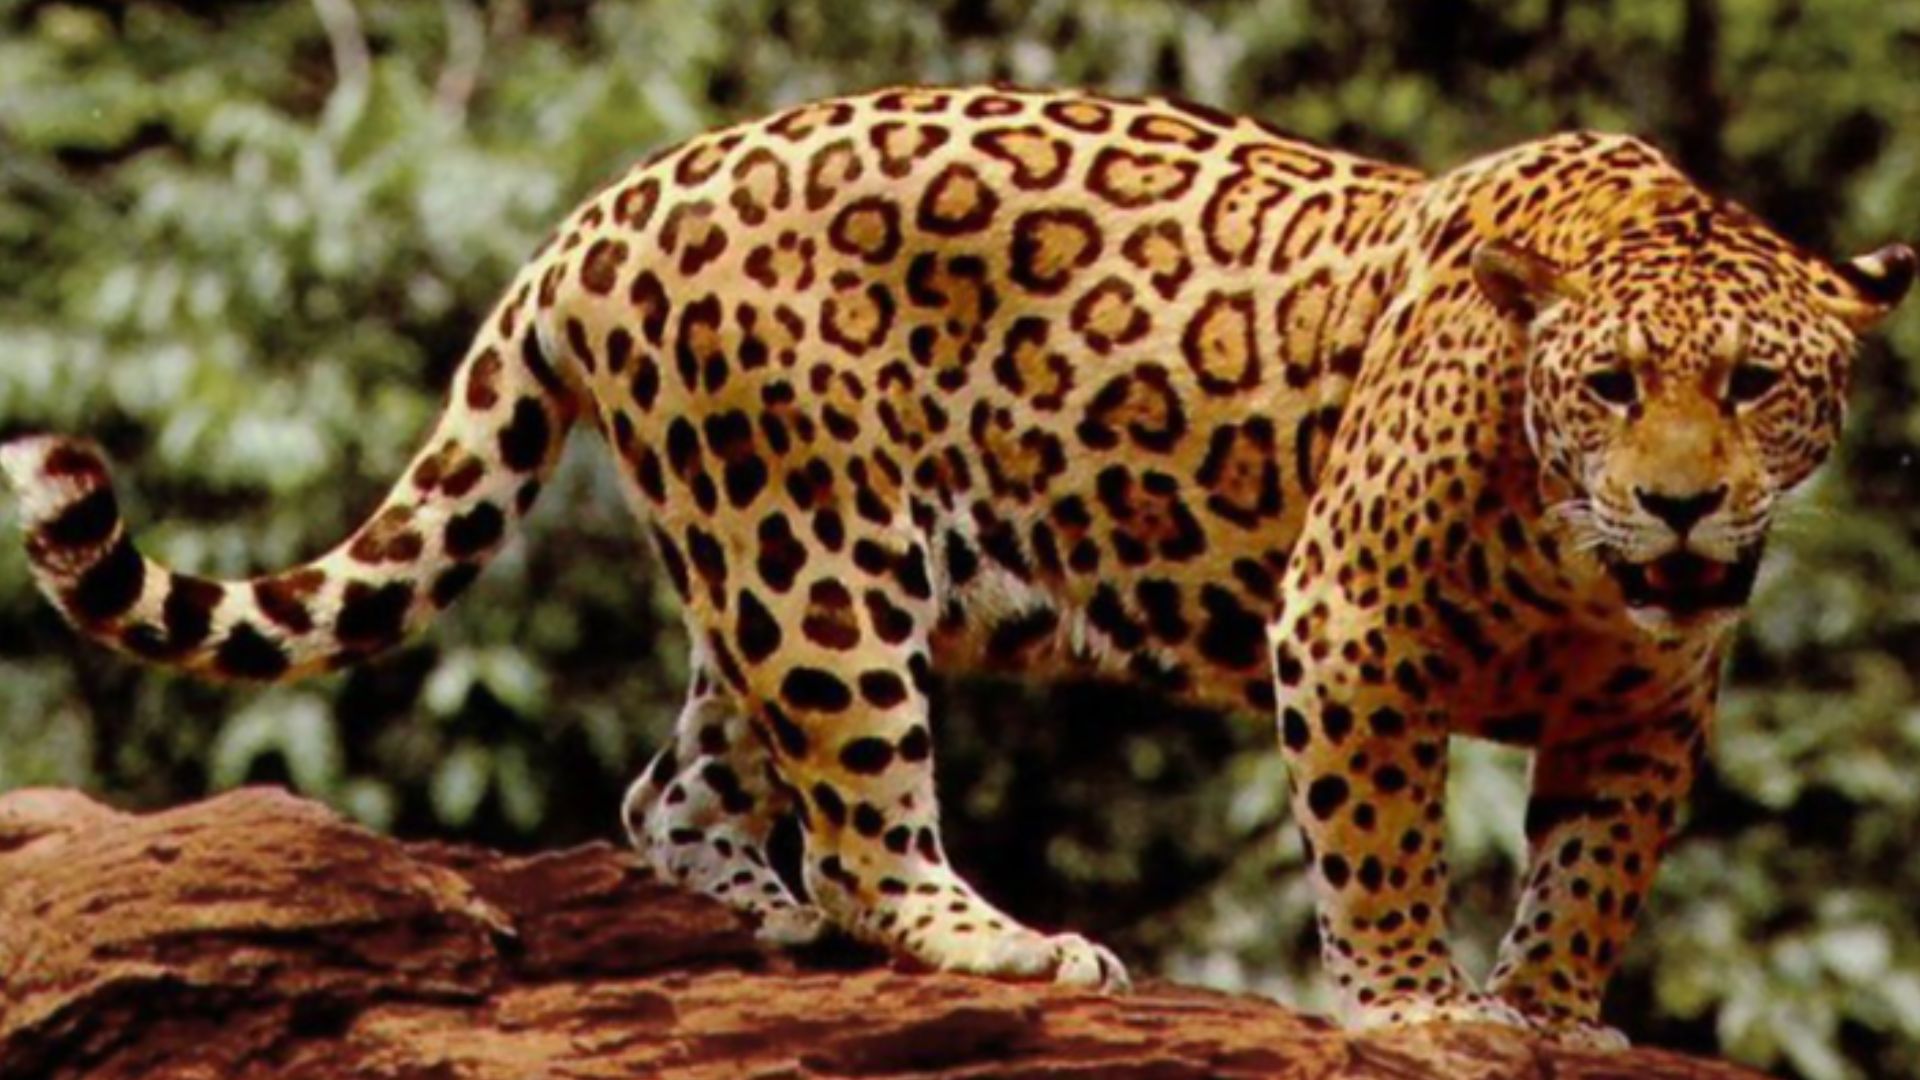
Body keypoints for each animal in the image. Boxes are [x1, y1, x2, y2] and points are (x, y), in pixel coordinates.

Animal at [5, 84, 1912, 1047]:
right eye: (1611, 386)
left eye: (1756, 386)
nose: (1681, 507)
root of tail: (611, 202)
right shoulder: (1347, 625)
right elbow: (1378, 840)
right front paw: (1416, 1009)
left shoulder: (1647, 707)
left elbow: (1592, 872)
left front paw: (1556, 1012)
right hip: (819, 560)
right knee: (861, 823)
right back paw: (998, 946)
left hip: (770, 561)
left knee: (674, 784)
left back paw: (761, 922)